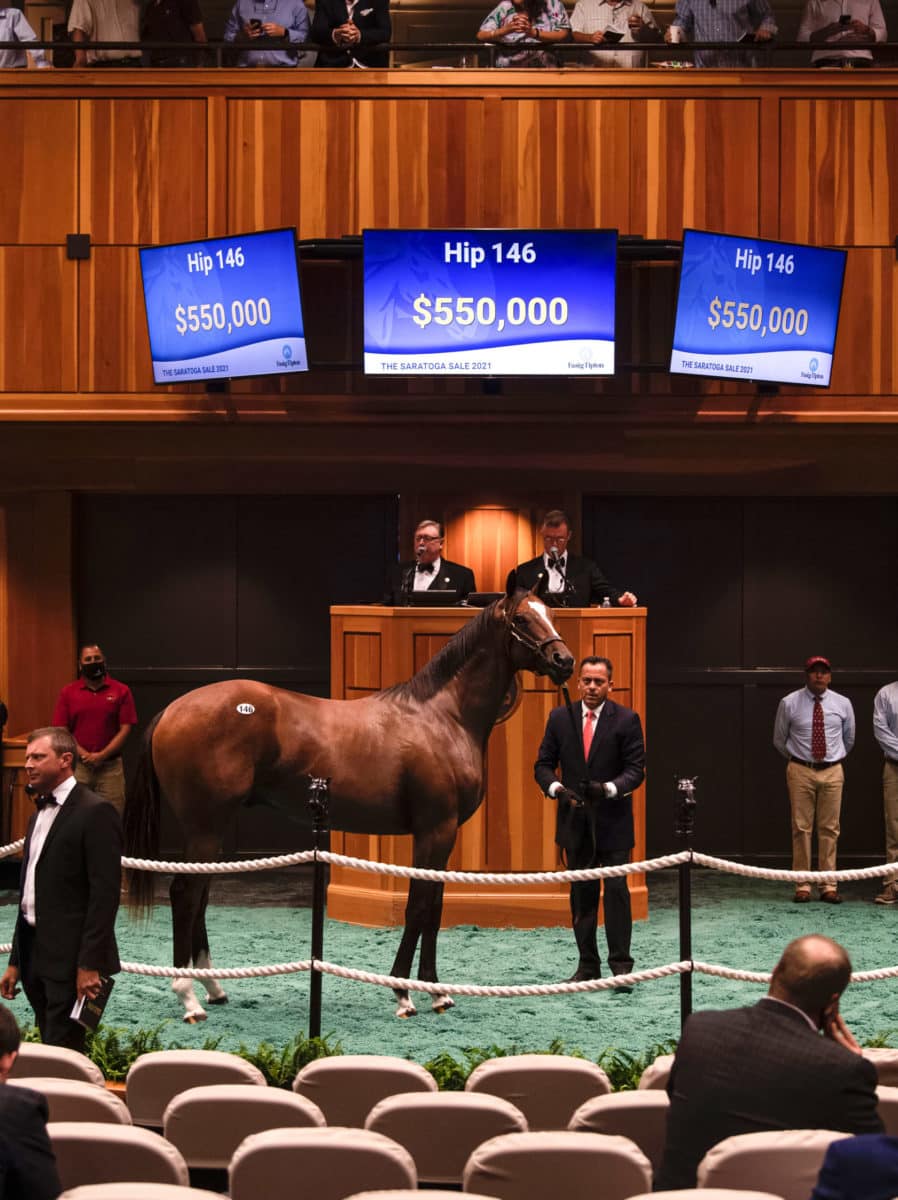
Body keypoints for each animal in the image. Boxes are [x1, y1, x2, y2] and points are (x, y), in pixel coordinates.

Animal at [123, 585, 571, 1017]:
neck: (444, 718)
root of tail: (171, 710)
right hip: (205, 826)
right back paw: (187, 996)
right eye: (522, 619)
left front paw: (437, 993)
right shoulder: (434, 830)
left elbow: (436, 909)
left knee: (200, 895)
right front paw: (403, 993)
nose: (564, 660)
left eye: (551, 612)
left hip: (210, 830)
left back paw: (213, 987)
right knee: (185, 894)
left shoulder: (443, 835)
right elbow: (419, 908)